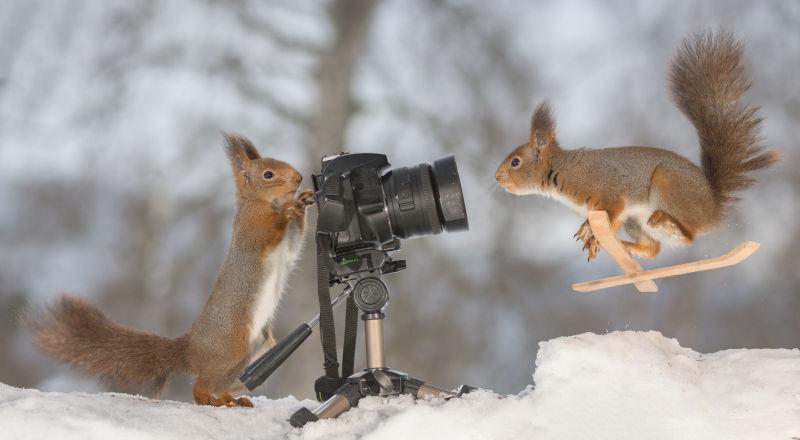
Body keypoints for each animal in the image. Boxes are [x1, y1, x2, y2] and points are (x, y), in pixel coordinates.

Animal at [30, 135, 312, 410]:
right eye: (268, 174)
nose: (299, 178)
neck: (259, 202)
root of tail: (191, 349)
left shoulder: (286, 249)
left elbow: (294, 244)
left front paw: (304, 202)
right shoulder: (253, 230)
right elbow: (270, 232)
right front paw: (290, 206)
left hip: (258, 352)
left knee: (220, 384)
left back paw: (231, 399)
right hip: (233, 348)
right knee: (200, 386)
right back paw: (212, 399)